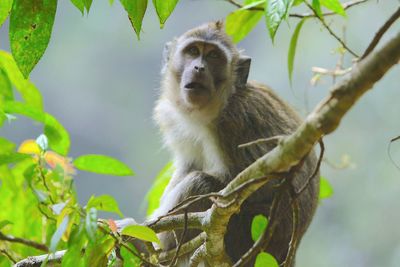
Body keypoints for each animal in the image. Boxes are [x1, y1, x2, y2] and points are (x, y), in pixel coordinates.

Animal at [150, 21, 318, 267]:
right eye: (192, 51)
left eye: (214, 56)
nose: (199, 67)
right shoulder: (172, 118)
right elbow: (187, 166)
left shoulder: (234, 120)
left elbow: (266, 185)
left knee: (200, 185)